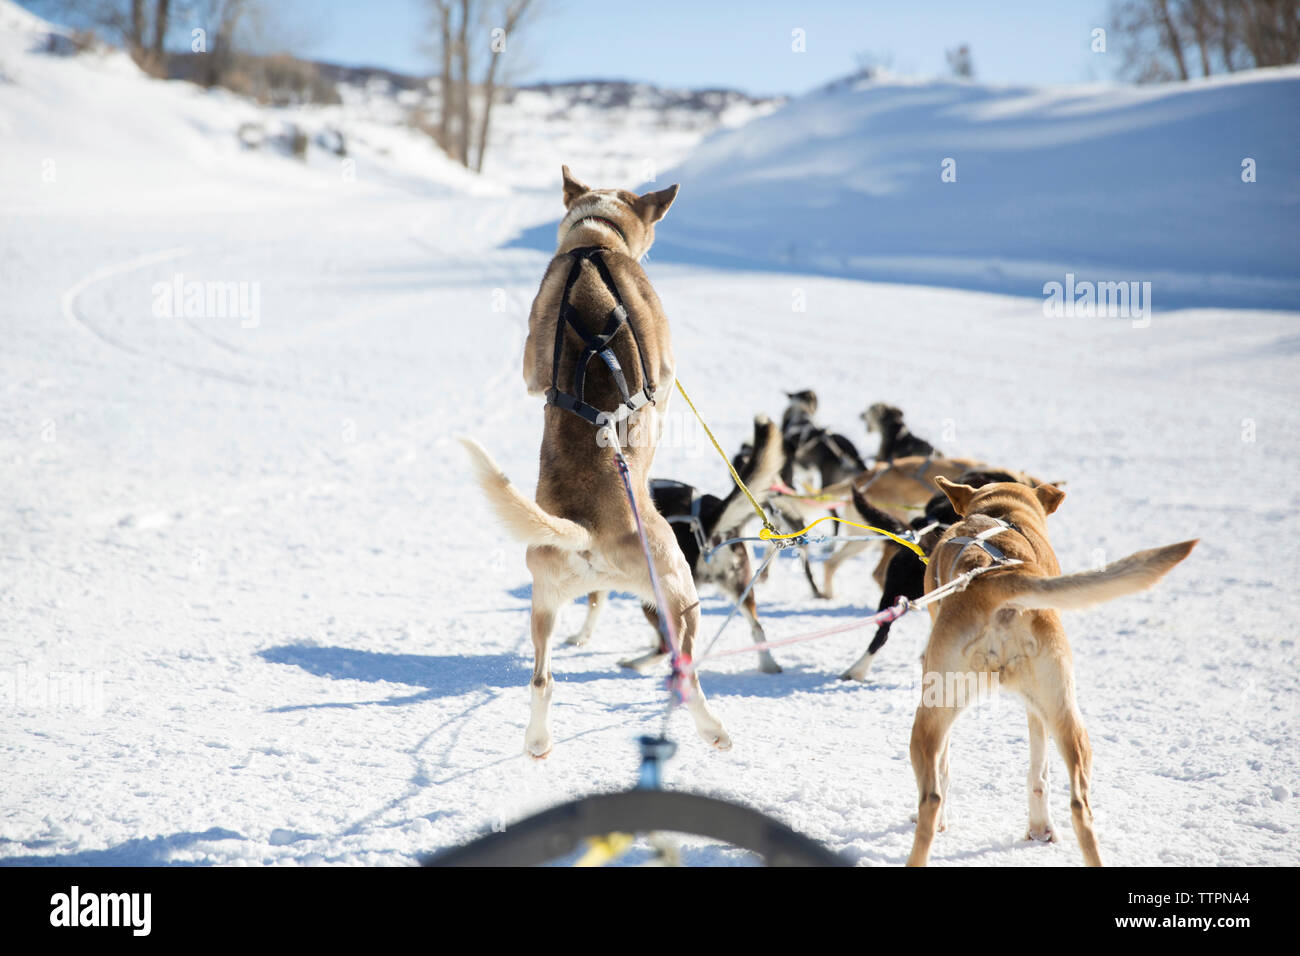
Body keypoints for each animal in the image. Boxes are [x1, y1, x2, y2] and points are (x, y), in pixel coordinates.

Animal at [460, 166, 733, 764]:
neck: (594, 244)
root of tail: (585, 532)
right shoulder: (667, 368)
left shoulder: (530, 369)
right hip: (680, 592)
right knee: (686, 670)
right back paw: (712, 730)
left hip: (543, 603)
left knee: (542, 679)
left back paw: (538, 741)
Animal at [566, 416, 780, 671]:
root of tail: (708, 519)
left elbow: (593, 605)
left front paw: (580, 637)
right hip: (740, 587)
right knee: (757, 626)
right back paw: (768, 664)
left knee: (665, 645)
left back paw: (635, 663)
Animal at [904, 476, 1196, 868]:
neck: (1002, 513)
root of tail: (997, 580)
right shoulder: (1037, 707)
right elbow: (1039, 772)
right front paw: (1040, 828)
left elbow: (950, 768)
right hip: (1065, 715)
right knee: (1080, 805)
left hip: (929, 718)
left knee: (932, 797)